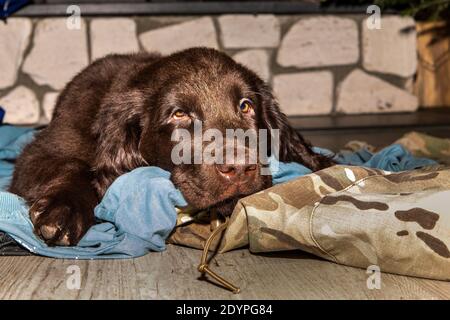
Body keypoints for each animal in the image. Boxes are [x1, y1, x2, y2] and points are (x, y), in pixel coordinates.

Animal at [7, 47, 334, 246]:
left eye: (246, 106)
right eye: (179, 114)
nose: (240, 168)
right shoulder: (42, 151)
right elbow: (76, 165)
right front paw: (63, 210)